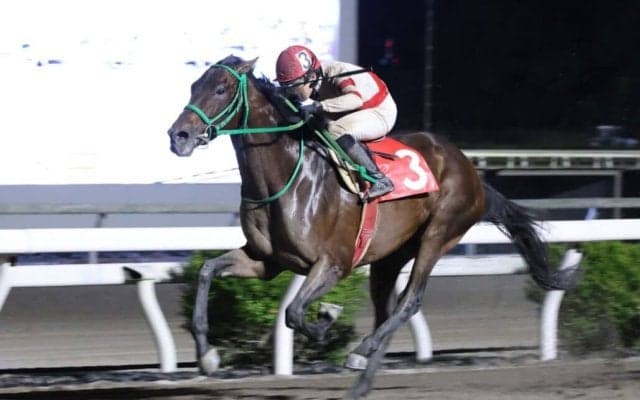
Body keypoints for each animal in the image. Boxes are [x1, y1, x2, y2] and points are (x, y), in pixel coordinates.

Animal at [167, 55, 579, 398]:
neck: (289, 176)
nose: (178, 136)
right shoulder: (266, 261)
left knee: (409, 302)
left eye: (221, 89)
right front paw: (208, 356)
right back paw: (363, 378)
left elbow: (294, 313)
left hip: (439, 234)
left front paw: (327, 319)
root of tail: (472, 172)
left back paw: (362, 350)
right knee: (388, 307)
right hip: (390, 256)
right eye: (193, 86)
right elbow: (207, 271)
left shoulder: (333, 264)